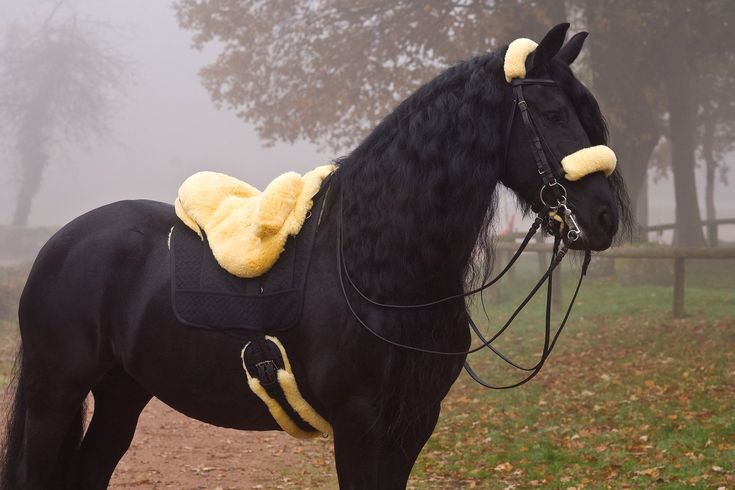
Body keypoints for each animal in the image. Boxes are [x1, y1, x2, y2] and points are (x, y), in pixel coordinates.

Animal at [1, 24, 632, 488]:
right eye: (553, 113)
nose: (604, 218)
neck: (376, 268)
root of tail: (61, 242)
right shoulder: (360, 426)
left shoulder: (410, 426)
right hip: (55, 394)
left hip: (122, 393)